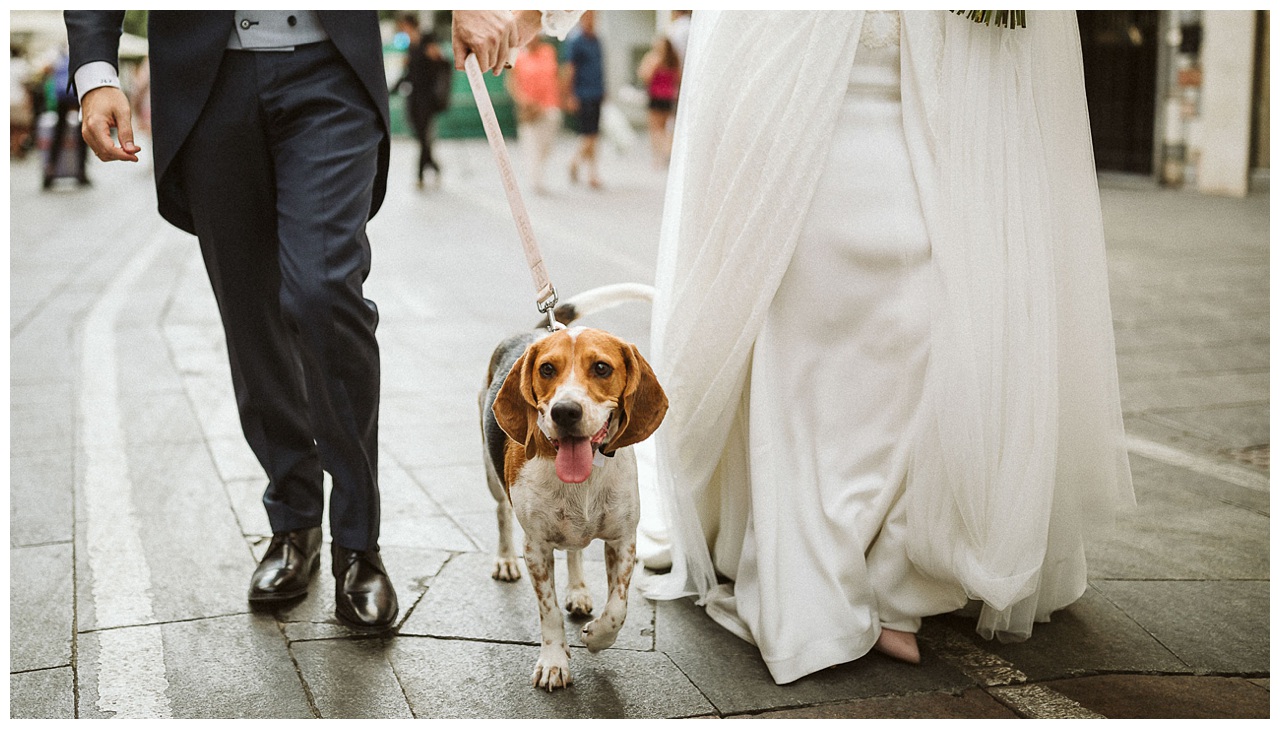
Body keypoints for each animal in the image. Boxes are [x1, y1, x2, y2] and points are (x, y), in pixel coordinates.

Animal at [481, 281, 670, 690]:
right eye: (547, 369)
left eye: (601, 368)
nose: (565, 412)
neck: (582, 481)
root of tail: (533, 331)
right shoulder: (536, 548)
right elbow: (549, 613)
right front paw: (554, 662)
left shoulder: (623, 540)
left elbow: (618, 608)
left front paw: (598, 637)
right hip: (492, 476)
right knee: (501, 511)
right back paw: (504, 560)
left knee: (575, 552)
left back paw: (579, 590)